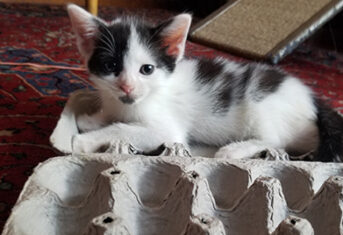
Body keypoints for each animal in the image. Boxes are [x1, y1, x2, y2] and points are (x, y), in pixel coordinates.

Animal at [55, 4, 342, 162]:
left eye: (147, 69)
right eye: (111, 66)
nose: (127, 87)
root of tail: (311, 97)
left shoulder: (166, 130)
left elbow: (123, 129)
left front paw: (85, 140)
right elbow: (114, 117)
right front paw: (94, 119)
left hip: (263, 106)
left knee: (274, 140)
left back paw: (232, 150)